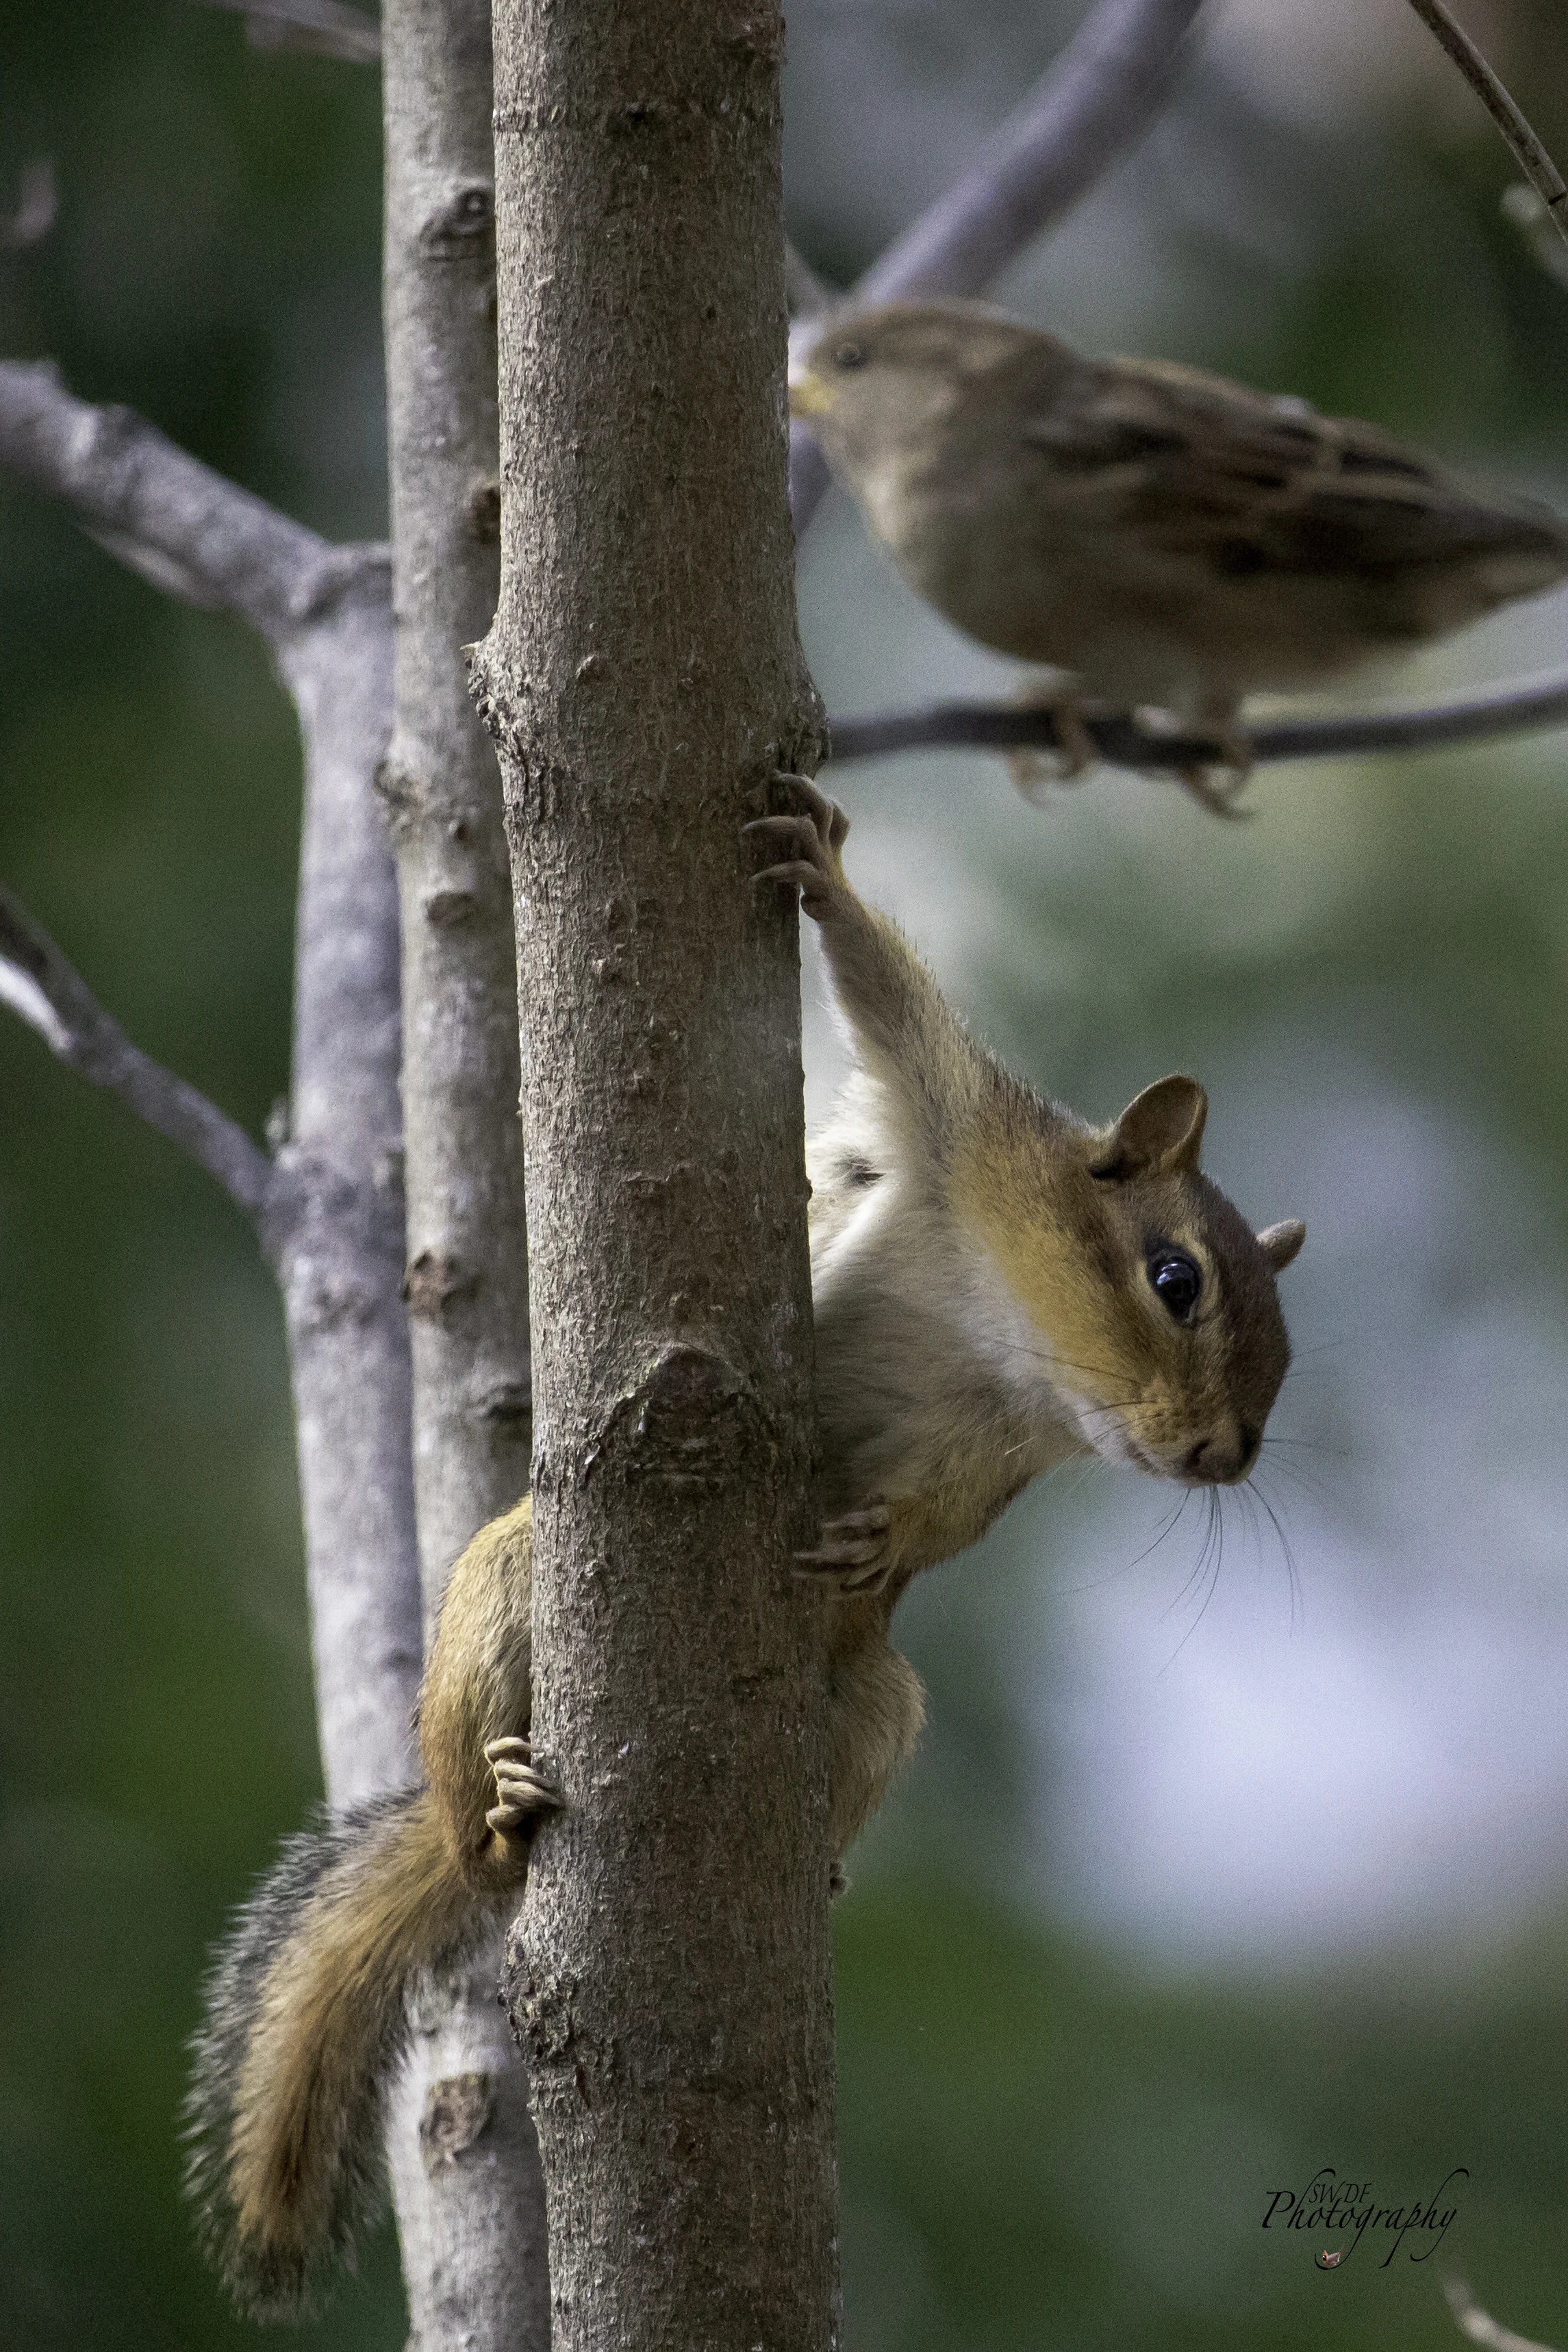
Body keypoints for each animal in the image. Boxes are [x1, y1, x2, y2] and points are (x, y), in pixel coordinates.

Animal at [186, 773, 1305, 2315]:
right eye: (1175, 1276)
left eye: (1284, 1360)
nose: (1218, 1456)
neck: (1011, 1338)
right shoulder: (957, 1129)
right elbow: (890, 1000)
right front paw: (824, 875)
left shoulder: (1008, 1446)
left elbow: (941, 1512)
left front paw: (881, 1536)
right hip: (505, 1590)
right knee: (477, 1838)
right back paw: (494, 1799)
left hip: (881, 1701)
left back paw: (815, 1864)